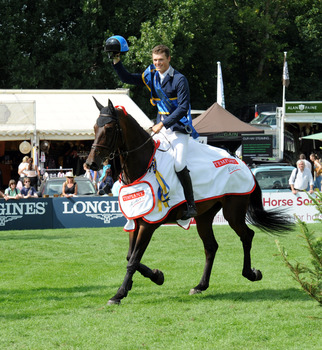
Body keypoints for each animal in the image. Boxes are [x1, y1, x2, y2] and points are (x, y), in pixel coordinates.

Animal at [86, 98, 294, 304]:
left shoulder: (149, 223)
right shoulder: (135, 220)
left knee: (247, 235)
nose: (91, 164)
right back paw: (201, 285)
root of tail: (242, 164)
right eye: (95, 127)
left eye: (109, 128)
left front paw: (119, 294)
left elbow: (133, 260)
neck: (144, 166)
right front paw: (155, 276)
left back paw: (251, 273)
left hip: (233, 212)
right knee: (211, 247)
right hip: (204, 216)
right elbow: (130, 256)